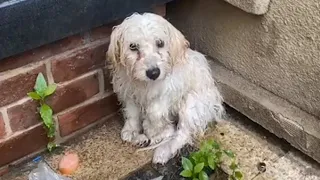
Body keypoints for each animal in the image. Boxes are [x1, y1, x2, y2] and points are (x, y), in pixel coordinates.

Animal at [106, 12, 224, 165]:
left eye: (160, 43)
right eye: (133, 46)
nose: (153, 73)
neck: (145, 85)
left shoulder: (168, 92)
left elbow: (154, 112)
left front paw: (152, 130)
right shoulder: (129, 92)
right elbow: (132, 113)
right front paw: (132, 131)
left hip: (191, 104)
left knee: (182, 133)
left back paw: (163, 149)